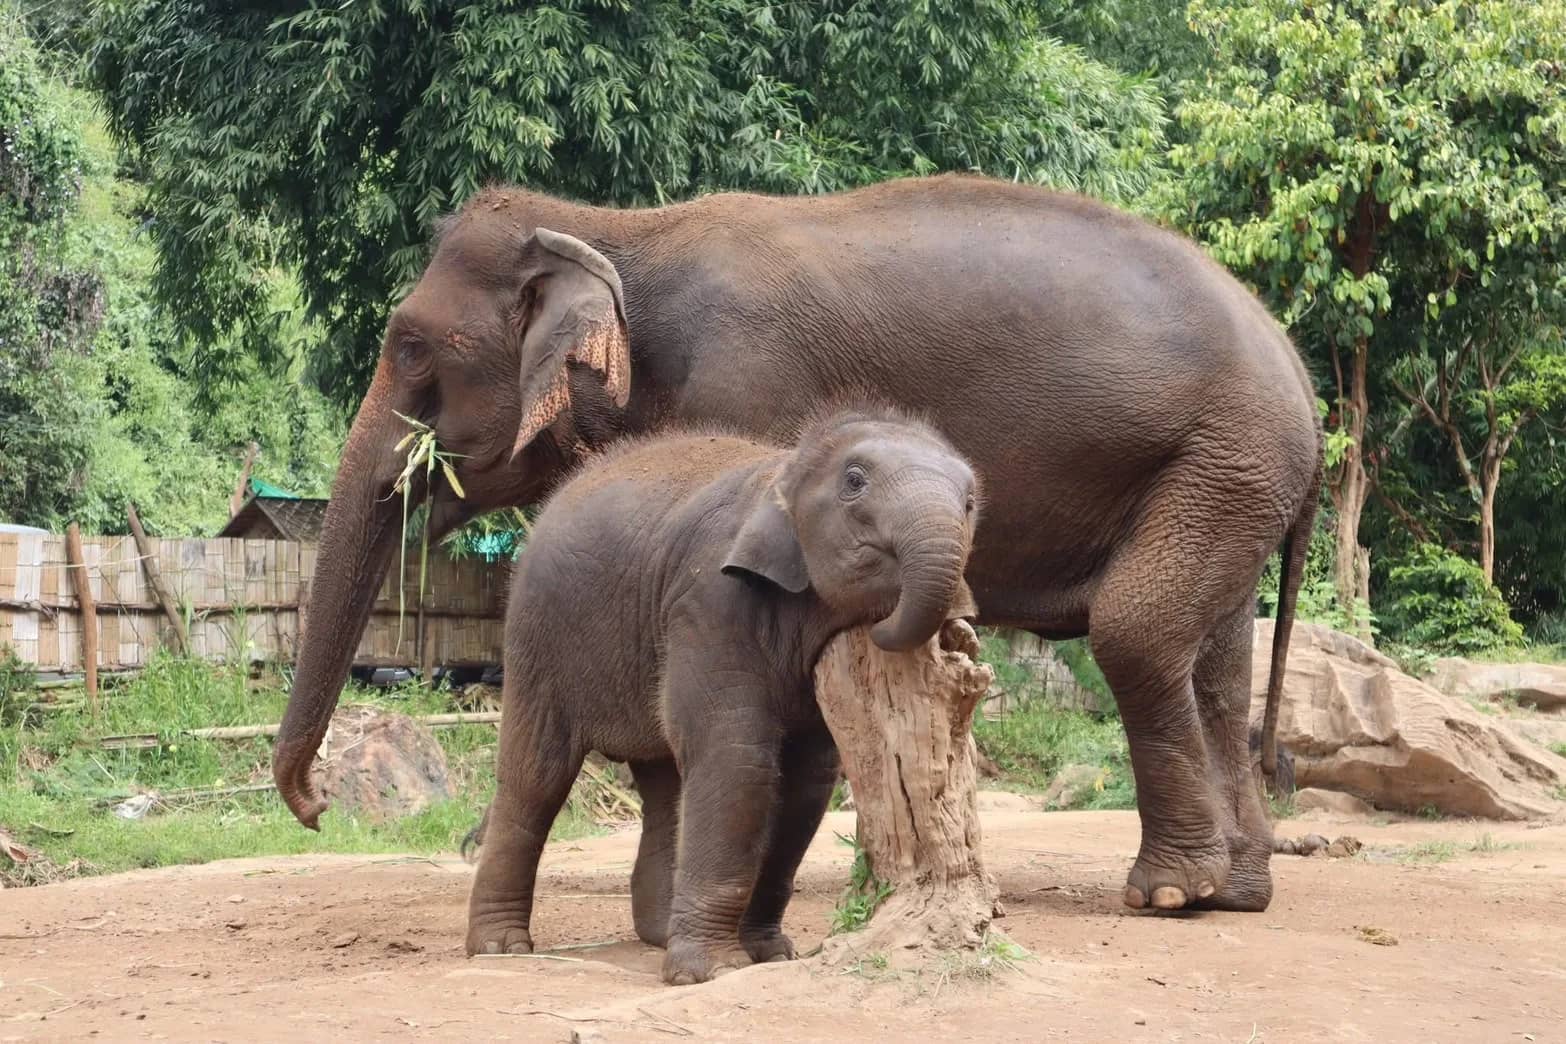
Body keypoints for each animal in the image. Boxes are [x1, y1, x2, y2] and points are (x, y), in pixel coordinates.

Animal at [273, 173, 1322, 915]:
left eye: (411, 347)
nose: (317, 806)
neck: (618, 228)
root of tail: (1304, 382)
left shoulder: (748, 381)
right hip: (1225, 473)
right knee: (1215, 663)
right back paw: (1238, 891)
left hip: (1225, 456)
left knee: (1137, 630)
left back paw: (1171, 893)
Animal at [464, 408, 978, 984]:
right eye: (854, 481)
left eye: (970, 502)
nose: (957, 629)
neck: (783, 469)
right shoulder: (709, 600)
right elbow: (736, 757)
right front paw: (711, 971)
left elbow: (807, 780)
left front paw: (770, 954)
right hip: (536, 637)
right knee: (536, 776)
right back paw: (501, 948)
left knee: (663, 783)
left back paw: (659, 933)